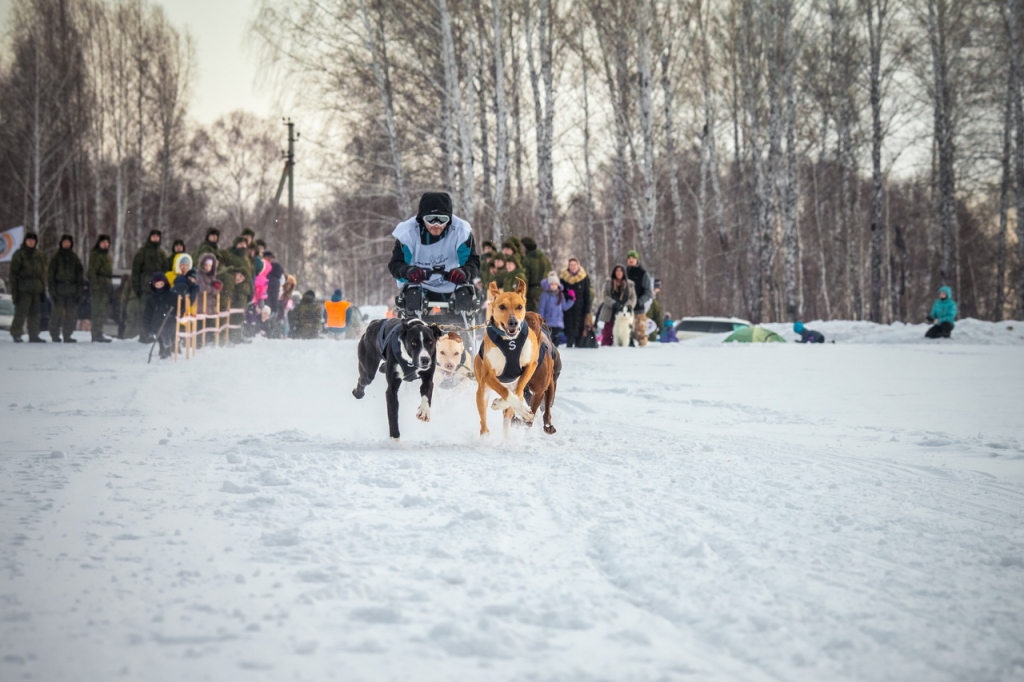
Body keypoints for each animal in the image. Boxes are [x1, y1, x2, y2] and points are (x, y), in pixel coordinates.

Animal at [471, 276, 561, 436]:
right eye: (502, 306)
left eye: (519, 307)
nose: (513, 322)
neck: (509, 342)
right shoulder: (488, 375)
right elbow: (505, 392)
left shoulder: (530, 369)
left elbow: (516, 395)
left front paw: (516, 409)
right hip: (482, 391)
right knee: (484, 421)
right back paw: (486, 436)